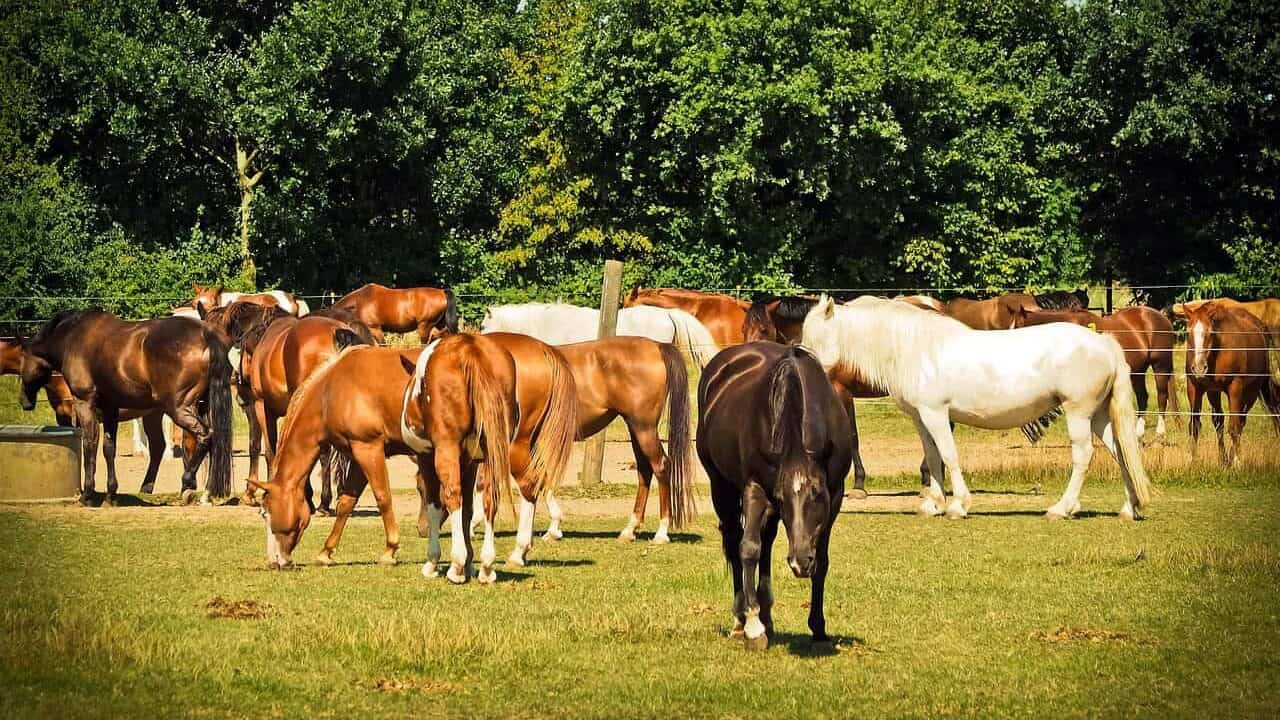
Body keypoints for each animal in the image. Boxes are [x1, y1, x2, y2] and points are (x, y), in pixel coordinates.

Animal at [18, 310, 232, 505]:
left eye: (22, 362)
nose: (23, 401)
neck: (73, 337)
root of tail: (205, 335)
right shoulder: (110, 409)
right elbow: (108, 448)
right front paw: (111, 494)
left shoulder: (84, 404)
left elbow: (89, 444)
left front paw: (88, 494)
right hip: (199, 407)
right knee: (211, 443)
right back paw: (204, 492)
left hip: (179, 408)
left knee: (205, 437)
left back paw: (188, 484)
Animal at [697, 343, 852, 651]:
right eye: (782, 496)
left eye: (818, 494)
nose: (800, 562)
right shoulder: (757, 489)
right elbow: (748, 549)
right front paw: (753, 626)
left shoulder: (836, 494)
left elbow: (822, 560)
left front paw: (818, 630)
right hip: (721, 486)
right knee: (735, 540)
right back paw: (742, 621)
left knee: (766, 543)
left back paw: (766, 615)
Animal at [802, 296, 1152, 520]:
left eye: (817, 336)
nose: (803, 365)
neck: (916, 348)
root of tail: (1105, 342)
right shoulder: (921, 419)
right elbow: (933, 457)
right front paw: (934, 504)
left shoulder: (936, 414)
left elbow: (949, 456)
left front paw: (958, 506)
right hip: (1099, 416)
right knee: (1120, 452)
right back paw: (1129, 508)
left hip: (1079, 413)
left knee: (1083, 456)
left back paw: (1061, 509)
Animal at [1013, 305, 1179, 441]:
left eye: (1018, 328)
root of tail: (1161, 316)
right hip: (1138, 372)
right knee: (1143, 397)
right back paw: (1138, 435)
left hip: (1160, 365)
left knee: (1162, 396)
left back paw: (1159, 435)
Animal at [1182, 303, 1280, 465]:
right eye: (1189, 332)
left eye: (1210, 332)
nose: (1199, 368)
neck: (1217, 353)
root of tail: (1260, 325)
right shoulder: (1198, 388)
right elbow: (1196, 425)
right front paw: (1193, 460)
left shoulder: (1235, 387)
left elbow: (1234, 426)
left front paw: (1237, 462)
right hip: (1215, 392)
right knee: (1221, 421)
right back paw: (1224, 460)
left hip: (1252, 390)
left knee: (1241, 421)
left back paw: (1233, 458)